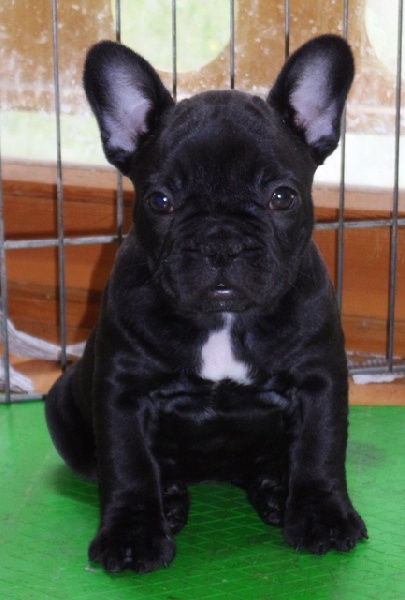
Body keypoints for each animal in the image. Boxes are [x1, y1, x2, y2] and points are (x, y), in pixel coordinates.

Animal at [46, 34, 367, 573]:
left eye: (282, 197)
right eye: (160, 201)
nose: (221, 242)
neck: (223, 321)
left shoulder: (319, 379)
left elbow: (321, 448)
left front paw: (323, 515)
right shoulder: (122, 391)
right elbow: (128, 463)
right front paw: (133, 533)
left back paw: (275, 492)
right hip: (62, 405)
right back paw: (172, 498)